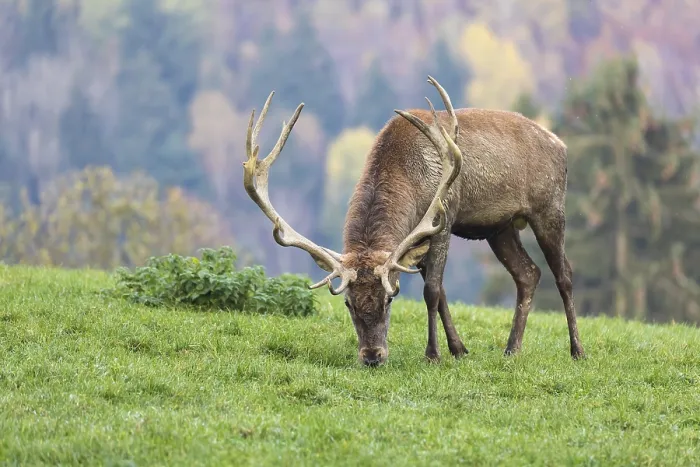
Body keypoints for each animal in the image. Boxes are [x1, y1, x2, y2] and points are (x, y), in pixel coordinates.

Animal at [243, 76, 585, 367]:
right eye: (349, 304)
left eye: (389, 300)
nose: (372, 356)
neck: (408, 175)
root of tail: (561, 145)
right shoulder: (415, 241)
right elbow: (441, 292)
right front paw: (458, 349)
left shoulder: (443, 219)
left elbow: (431, 291)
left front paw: (433, 354)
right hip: (499, 228)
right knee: (528, 273)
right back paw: (512, 349)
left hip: (550, 208)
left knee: (564, 274)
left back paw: (577, 350)